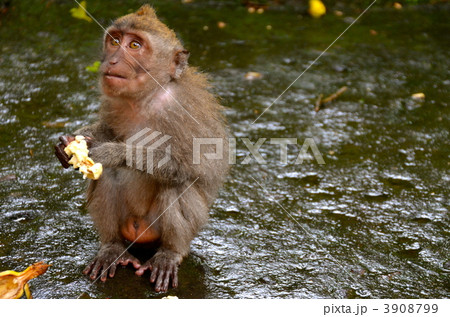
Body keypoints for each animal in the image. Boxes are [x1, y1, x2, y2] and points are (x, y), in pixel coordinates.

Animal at [54, 4, 229, 292]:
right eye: (115, 41)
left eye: (135, 45)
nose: (113, 61)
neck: (146, 98)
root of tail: (138, 231)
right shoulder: (113, 101)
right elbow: (107, 131)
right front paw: (75, 141)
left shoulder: (184, 110)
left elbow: (190, 167)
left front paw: (113, 152)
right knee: (107, 177)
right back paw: (112, 248)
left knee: (175, 185)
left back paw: (170, 254)